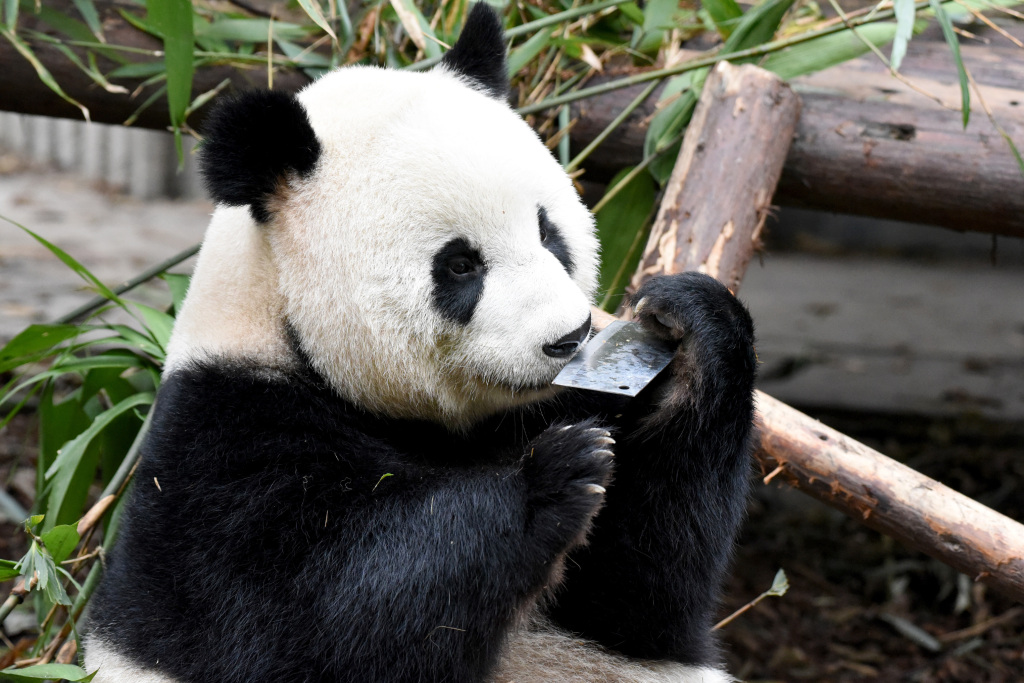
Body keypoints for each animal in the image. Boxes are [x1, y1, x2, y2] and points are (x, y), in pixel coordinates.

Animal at [86, 2, 761, 679]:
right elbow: (329, 622)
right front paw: (554, 474)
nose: (569, 338)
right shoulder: (224, 456)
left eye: (548, 232)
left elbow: (644, 593)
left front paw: (694, 324)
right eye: (460, 265)